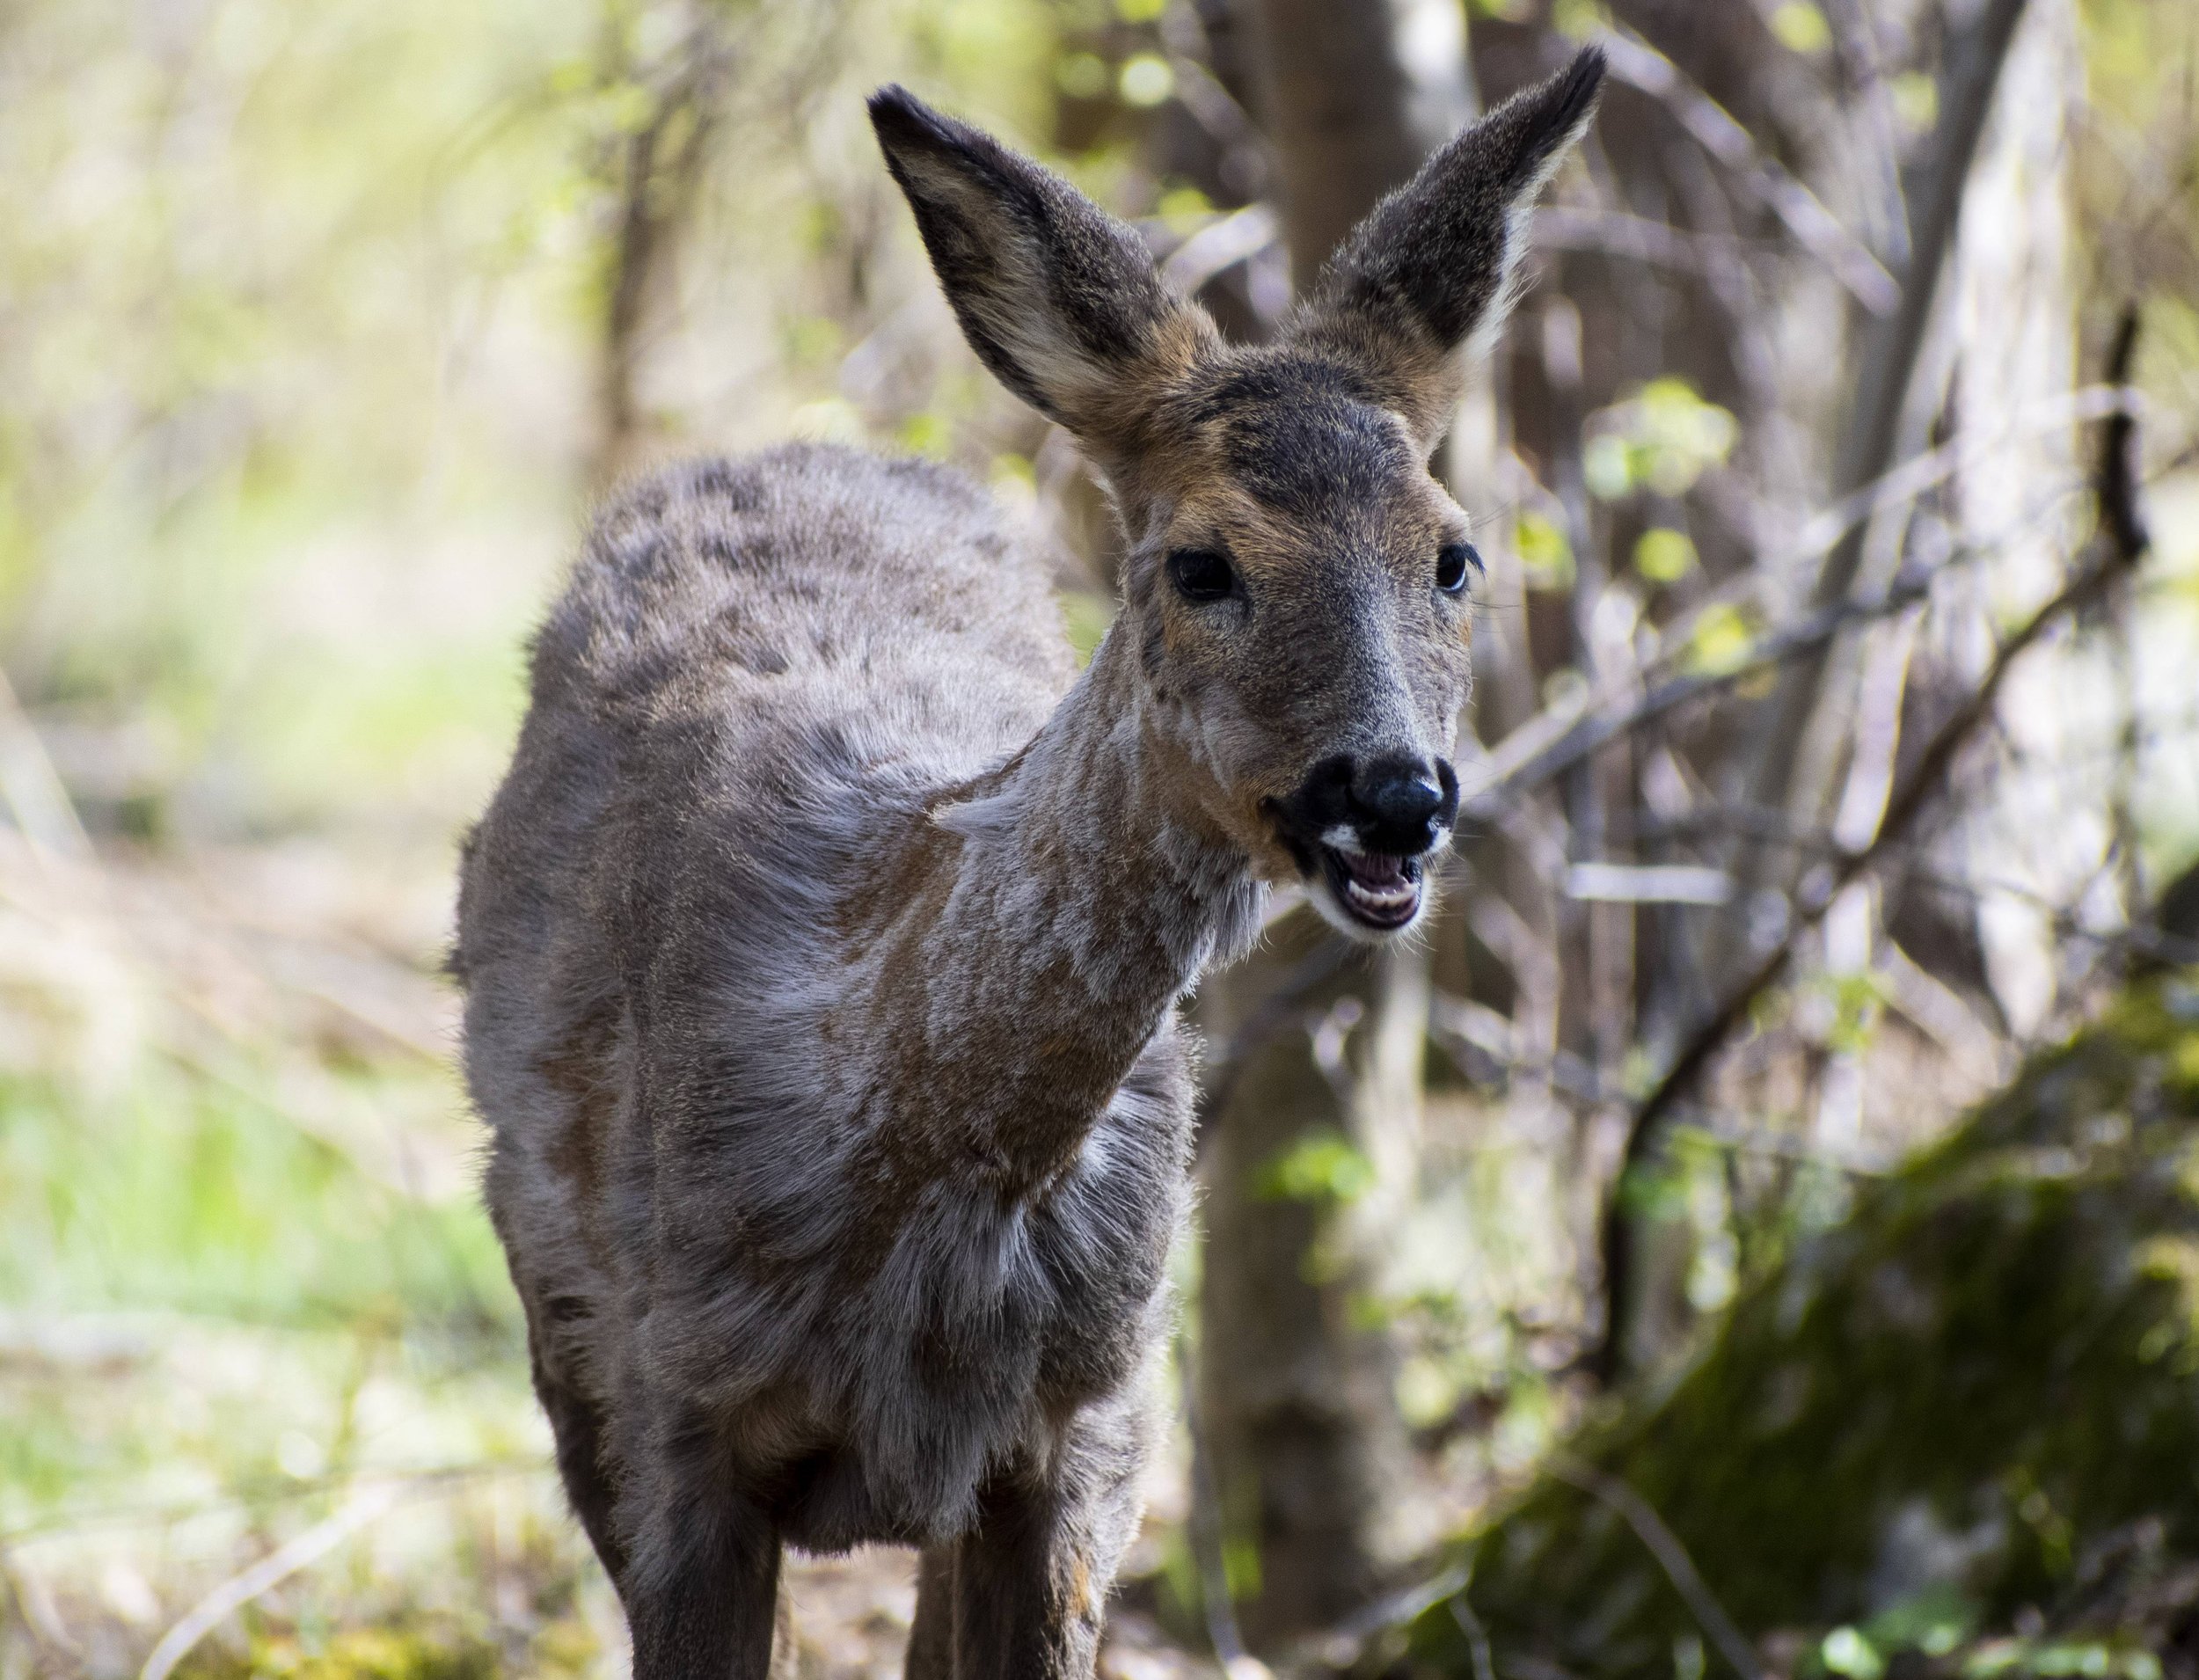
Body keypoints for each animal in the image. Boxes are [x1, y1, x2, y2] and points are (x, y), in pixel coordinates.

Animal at [453, 48, 1603, 1680]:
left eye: (1453, 553)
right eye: (1201, 563)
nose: (1393, 799)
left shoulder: (1090, 1437)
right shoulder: (671, 1413)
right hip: (556, 1313)